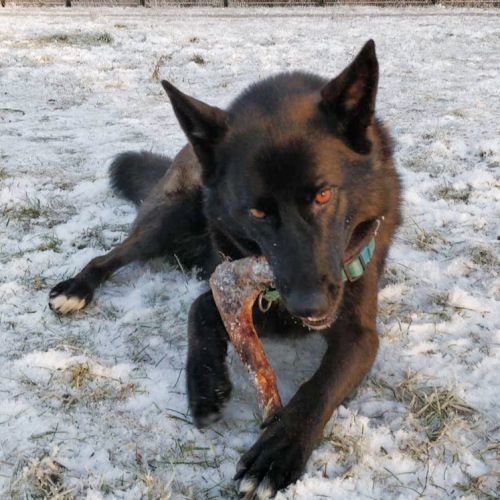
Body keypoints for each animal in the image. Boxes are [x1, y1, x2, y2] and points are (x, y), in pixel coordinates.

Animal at [49, 40, 402, 500]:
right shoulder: (234, 285)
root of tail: (186, 151)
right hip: (170, 219)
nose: (308, 306)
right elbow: (198, 309)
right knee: (109, 256)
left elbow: (320, 386)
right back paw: (76, 288)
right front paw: (205, 385)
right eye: (257, 212)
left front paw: (277, 451)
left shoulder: (359, 334)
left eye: (324, 195)